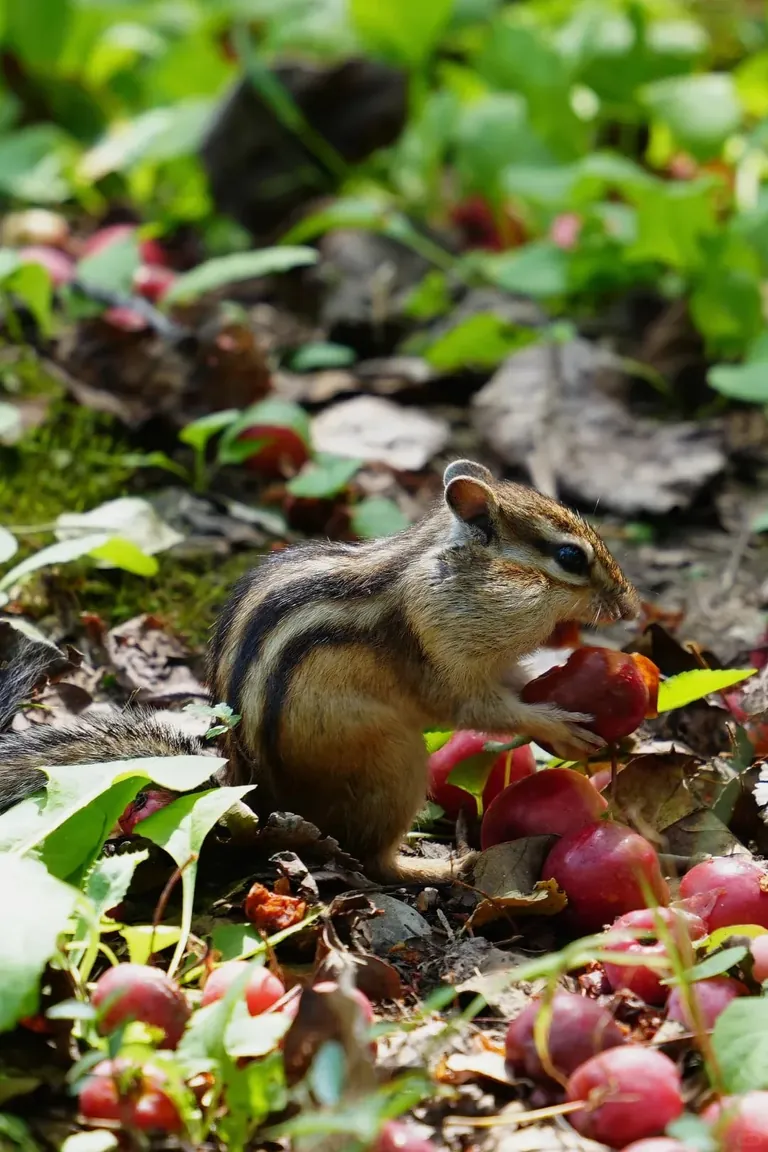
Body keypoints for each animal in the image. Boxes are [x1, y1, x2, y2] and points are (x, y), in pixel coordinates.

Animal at [0, 460, 639, 884]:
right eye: (570, 557)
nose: (631, 608)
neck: (445, 570)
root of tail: (256, 800)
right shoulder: (442, 653)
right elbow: (478, 709)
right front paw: (557, 726)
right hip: (393, 764)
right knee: (376, 861)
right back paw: (439, 867)